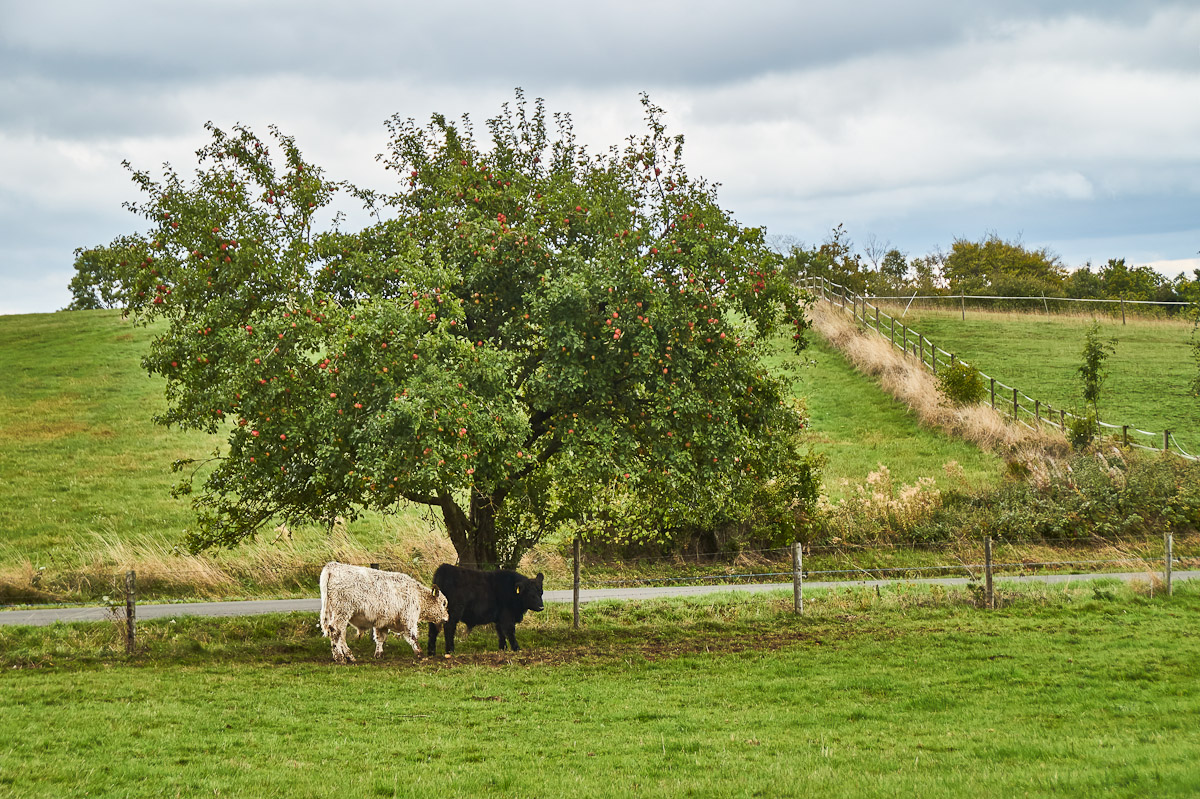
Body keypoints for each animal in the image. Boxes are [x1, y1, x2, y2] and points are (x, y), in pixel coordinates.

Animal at [319, 559, 451, 657]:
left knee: (340, 633)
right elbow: (412, 637)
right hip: (342, 612)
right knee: (335, 631)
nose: (447, 618)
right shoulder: (409, 619)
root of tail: (334, 566)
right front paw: (420, 653)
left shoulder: (382, 622)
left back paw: (348, 656)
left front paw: (379, 654)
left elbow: (380, 638)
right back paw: (340, 657)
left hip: (337, 614)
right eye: (444, 603)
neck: (417, 594)